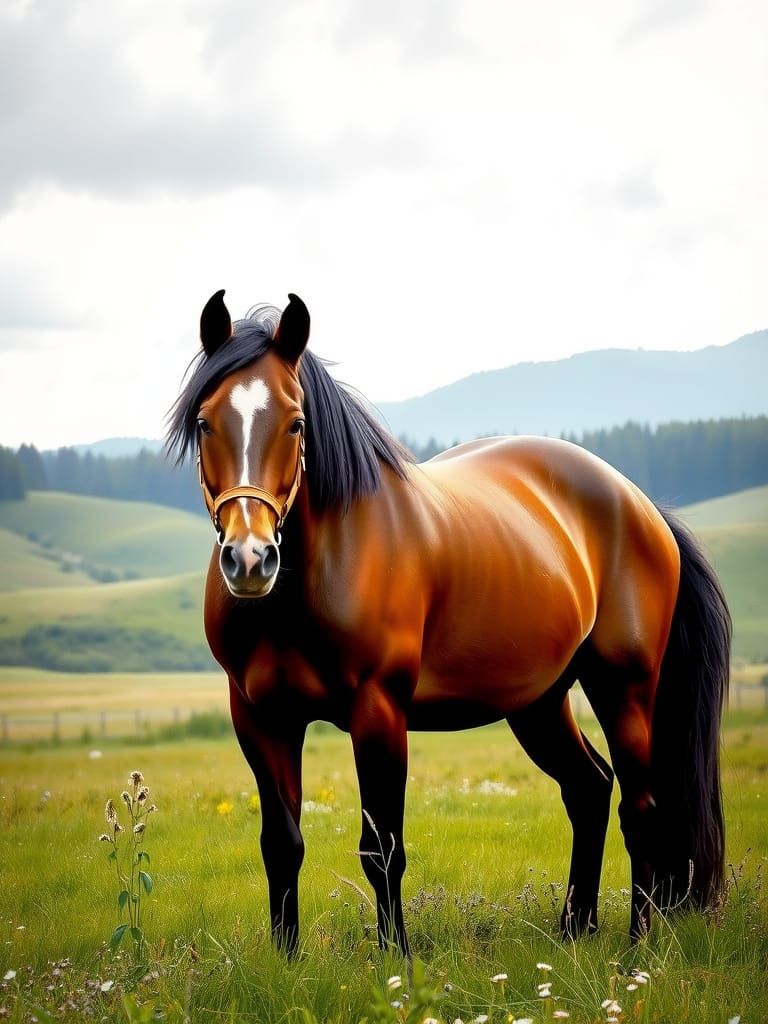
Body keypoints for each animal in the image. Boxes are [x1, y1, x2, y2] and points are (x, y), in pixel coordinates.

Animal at [166, 290, 730, 956]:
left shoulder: (378, 709)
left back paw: (635, 945)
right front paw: (286, 960)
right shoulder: (259, 717)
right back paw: (574, 930)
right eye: (205, 422)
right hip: (538, 702)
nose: (251, 558)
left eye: (296, 422)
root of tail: (643, 505)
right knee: (589, 788)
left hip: (625, 686)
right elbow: (282, 844)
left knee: (640, 806)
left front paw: (395, 958)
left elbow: (381, 849)